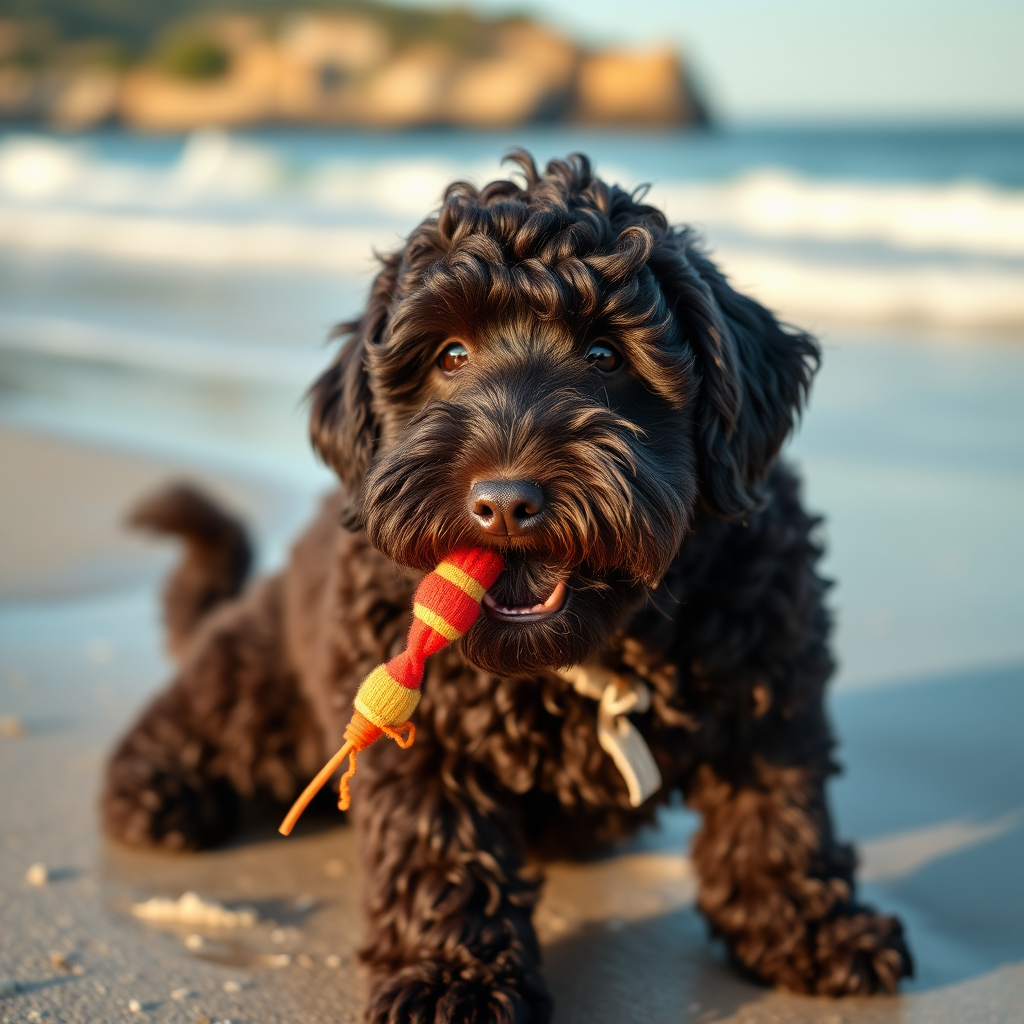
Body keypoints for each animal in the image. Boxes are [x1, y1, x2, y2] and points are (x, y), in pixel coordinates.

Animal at [103, 149, 913, 1015]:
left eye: (606, 355)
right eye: (450, 355)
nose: (504, 503)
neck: (594, 659)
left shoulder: (773, 686)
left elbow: (779, 813)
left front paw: (810, 927)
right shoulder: (424, 741)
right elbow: (440, 848)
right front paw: (450, 975)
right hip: (256, 683)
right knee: (187, 720)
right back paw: (154, 790)